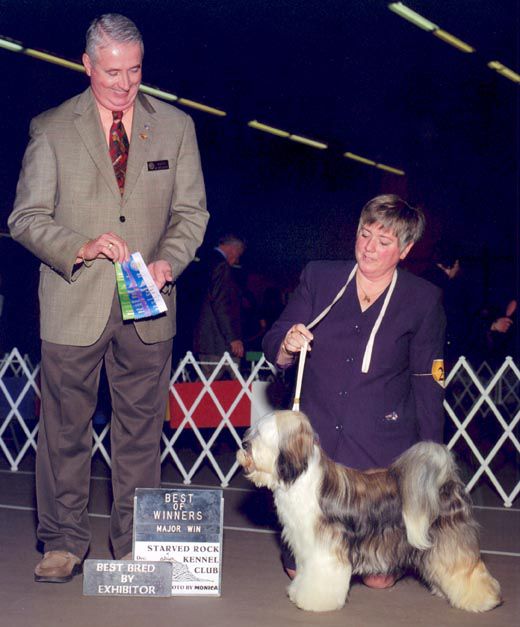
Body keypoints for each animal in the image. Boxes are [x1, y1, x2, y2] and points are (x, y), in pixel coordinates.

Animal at [238, 412, 502, 612]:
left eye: (262, 435)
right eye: (253, 431)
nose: (244, 445)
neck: (301, 478)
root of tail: (447, 481)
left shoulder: (326, 551)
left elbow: (322, 578)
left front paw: (313, 601)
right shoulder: (307, 548)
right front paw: (298, 591)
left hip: (451, 539)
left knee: (467, 568)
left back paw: (483, 599)